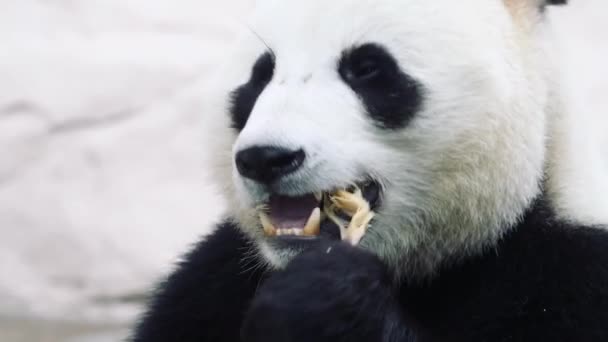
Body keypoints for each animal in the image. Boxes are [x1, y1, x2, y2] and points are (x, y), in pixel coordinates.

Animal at [132, 0, 608, 342]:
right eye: (261, 75)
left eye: (366, 69)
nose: (266, 157)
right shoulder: (209, 287)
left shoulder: (567, 277)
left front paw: (321, 299)